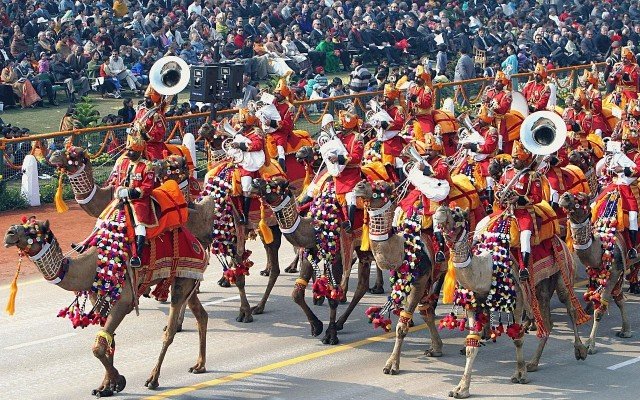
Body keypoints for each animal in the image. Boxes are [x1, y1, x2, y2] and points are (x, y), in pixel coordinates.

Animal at [3, 216, 209, 394]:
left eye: (33, 230)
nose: (9, 232)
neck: (92, 266)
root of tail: (198, 244)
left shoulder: (124, 301)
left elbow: (98, 347)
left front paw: (118, 381)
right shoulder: (99, 299)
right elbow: (107, 340)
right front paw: (106, 387)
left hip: (182, 279)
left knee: (170, 331)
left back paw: (153, 379)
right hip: (187, 280)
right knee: (201, 315)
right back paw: (199, 365)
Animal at [251, 177, 376, 346]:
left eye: (276, 183)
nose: (255, 181)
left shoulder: (336, 255)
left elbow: (332, 297)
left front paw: (330, 335)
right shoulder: (311, 250)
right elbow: (296, 293)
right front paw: (316, 326)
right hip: (363, 247)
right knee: (362, 285)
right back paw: (341, 322)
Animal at [432, 205, 588, 398]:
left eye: (458, 214)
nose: (441, 211)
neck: (487, 268)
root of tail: (560, 238)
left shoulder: (518, 301)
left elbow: (518, 338)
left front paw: (520, 374)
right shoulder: (473, 304)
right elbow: (471, 344)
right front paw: (461, 389)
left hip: (562, 271)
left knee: (570, 306)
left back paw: (580, 350)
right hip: (540, 288)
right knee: (547, 322)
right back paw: (533, 363)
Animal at [556, 193, 632, 354]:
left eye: (583, 198)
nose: (564, 196)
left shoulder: (614, 274)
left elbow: (600, 309)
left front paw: (590, 344)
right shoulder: (598, 274)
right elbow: (619, 300)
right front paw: (625, 330)